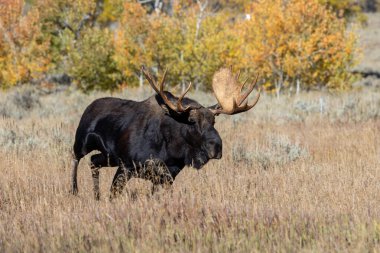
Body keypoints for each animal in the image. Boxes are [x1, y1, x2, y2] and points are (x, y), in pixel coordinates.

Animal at [70, 66, 262, 200]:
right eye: (192, 122)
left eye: (214, 121)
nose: (217, 148)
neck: (171, 150)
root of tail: (89, 108)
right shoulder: (127, 166)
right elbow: (113, 194)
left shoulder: (167, 176)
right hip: (82, 143)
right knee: (76, 159)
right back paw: (74, 191)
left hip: (109, 157)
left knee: (93, 161)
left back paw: (96, 196)